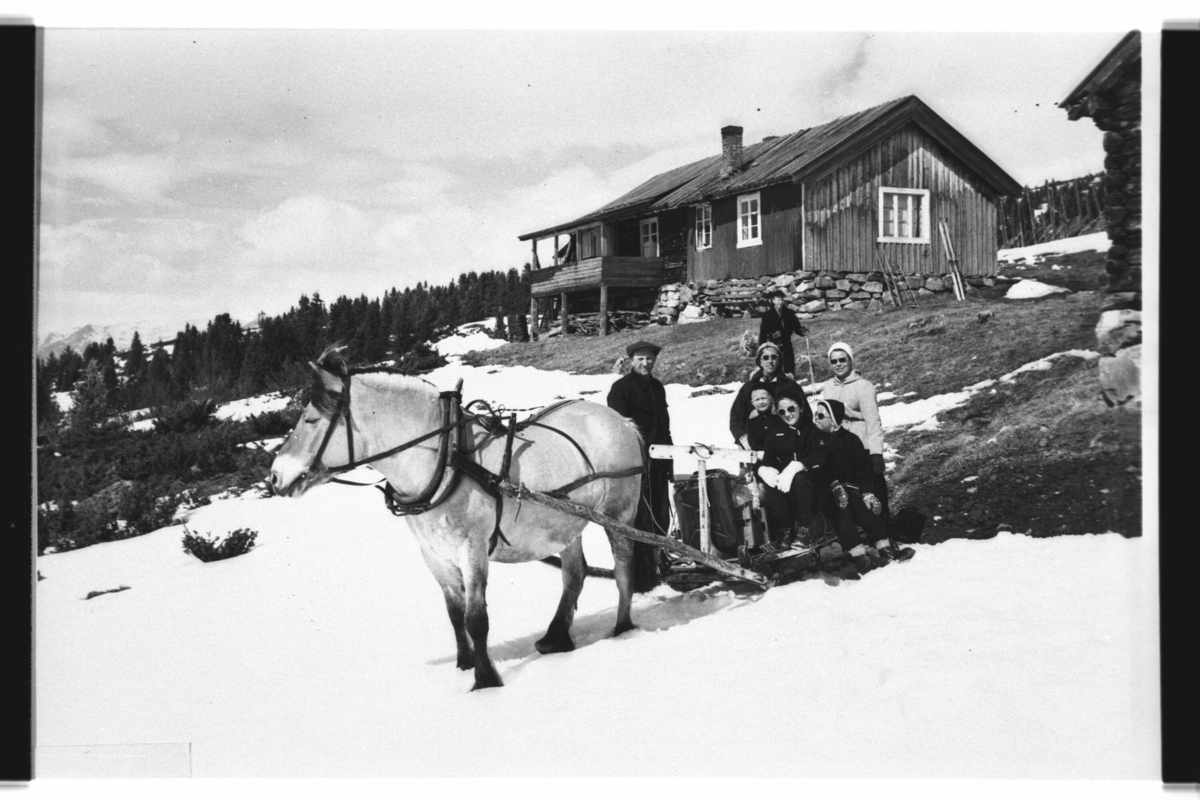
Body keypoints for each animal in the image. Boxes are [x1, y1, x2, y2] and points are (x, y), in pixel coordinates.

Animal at [270, 347, 648, 690]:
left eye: (311, 420)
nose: (274, 476)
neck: (446, 458)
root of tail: (622, 421)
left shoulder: (472, 550)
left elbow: (475, 618)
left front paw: (485, 681)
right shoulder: (434, 554)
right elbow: (454, 614)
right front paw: (464, 665)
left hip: (619, 513)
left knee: (624, 567)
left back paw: (622, 629)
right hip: (565, 522)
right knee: (574, 575)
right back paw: (556, 638)